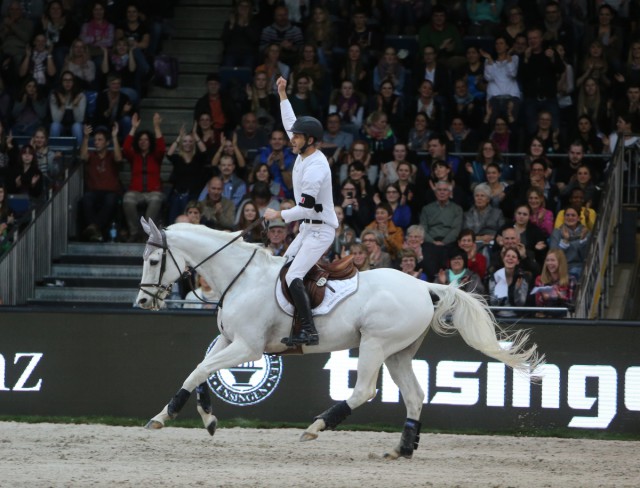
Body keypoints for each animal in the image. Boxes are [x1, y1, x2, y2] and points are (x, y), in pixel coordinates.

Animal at [136, 219, 544, 460]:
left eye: (154, 261)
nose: (142, 302)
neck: (242, 278)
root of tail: (423, 285)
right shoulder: (229, 340)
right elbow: (201, 368)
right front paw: (205, 416)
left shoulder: (247, 347)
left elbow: (200, 370)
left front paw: (164, 416)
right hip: (398, 353)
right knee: (414, 396)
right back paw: (402, 449)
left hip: (375, 345)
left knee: (363, 390)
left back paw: (316, 427)